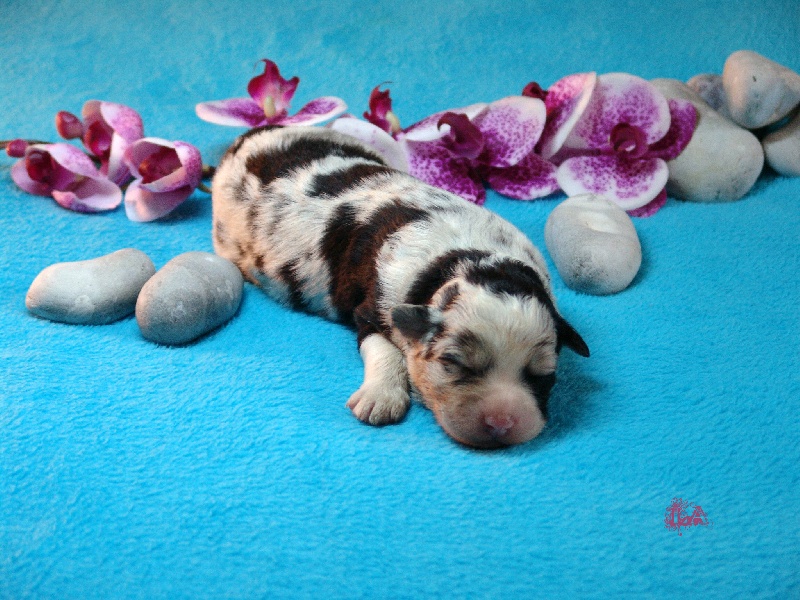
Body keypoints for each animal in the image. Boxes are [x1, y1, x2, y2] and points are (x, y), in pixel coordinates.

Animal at [211, 125, 589, 448]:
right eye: (455, 363)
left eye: (543, 374)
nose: (502, 423)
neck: (464, 256)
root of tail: (249, 136)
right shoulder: (372, 308)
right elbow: (384, 348)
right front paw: (380, 399)